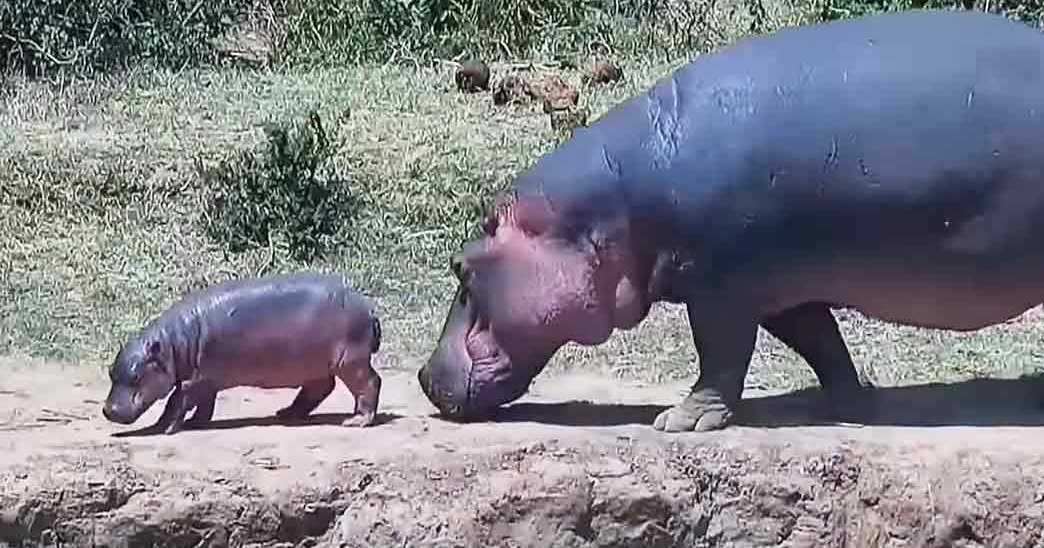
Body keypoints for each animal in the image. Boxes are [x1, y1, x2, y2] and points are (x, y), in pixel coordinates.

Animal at [102, 272, 382, 434]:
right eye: (110, 372)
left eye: (136, 376)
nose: (108, 410)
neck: (174, 344)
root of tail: (368, 308)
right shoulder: (206, 377)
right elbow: (205, 403)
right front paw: (196, 423)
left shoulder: (193, 380)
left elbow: (176, 401)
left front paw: (163, 427)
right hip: (316, 363)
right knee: (320, 387)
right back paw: (286, 413)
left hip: (351, 361)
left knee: (369, 382)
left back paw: (356, 422)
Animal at [418, 9, 1044, 433]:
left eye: (461, 267)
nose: (423, 377)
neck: (609, 207)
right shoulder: (783, 286)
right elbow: (820, 341)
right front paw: (855, 404)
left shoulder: (720, 285)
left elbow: (720, 353)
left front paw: (680, 422)